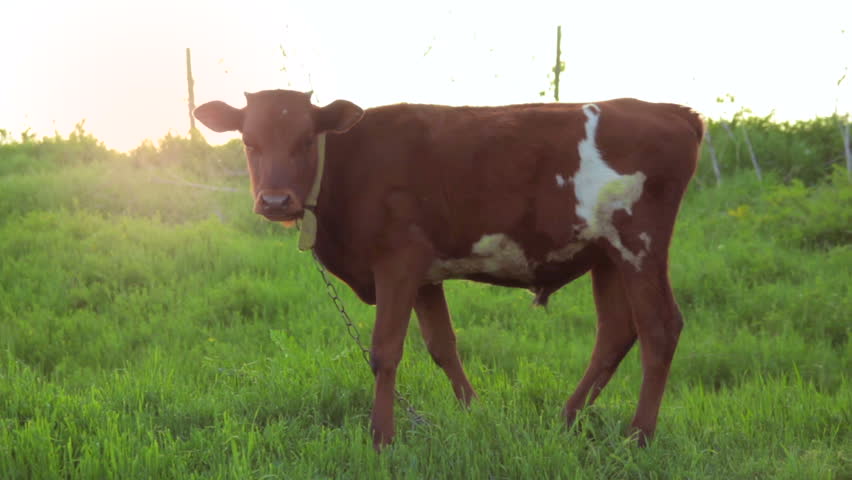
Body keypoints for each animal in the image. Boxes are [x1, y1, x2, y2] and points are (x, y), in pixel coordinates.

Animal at [194, 89, 703, 450]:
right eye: (249, 142)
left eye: (304, 141)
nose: (276, 201)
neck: (347, 163)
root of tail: (674, 112)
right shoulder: (424, 276)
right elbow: (442, 347)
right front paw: (476, 414)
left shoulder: (398, 262)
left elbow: (385, 352)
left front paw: (382, 439)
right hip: (607, 256)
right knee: (616, 332)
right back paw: (567, 420)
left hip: (639, 246)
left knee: (659, 328)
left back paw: (638, 436)